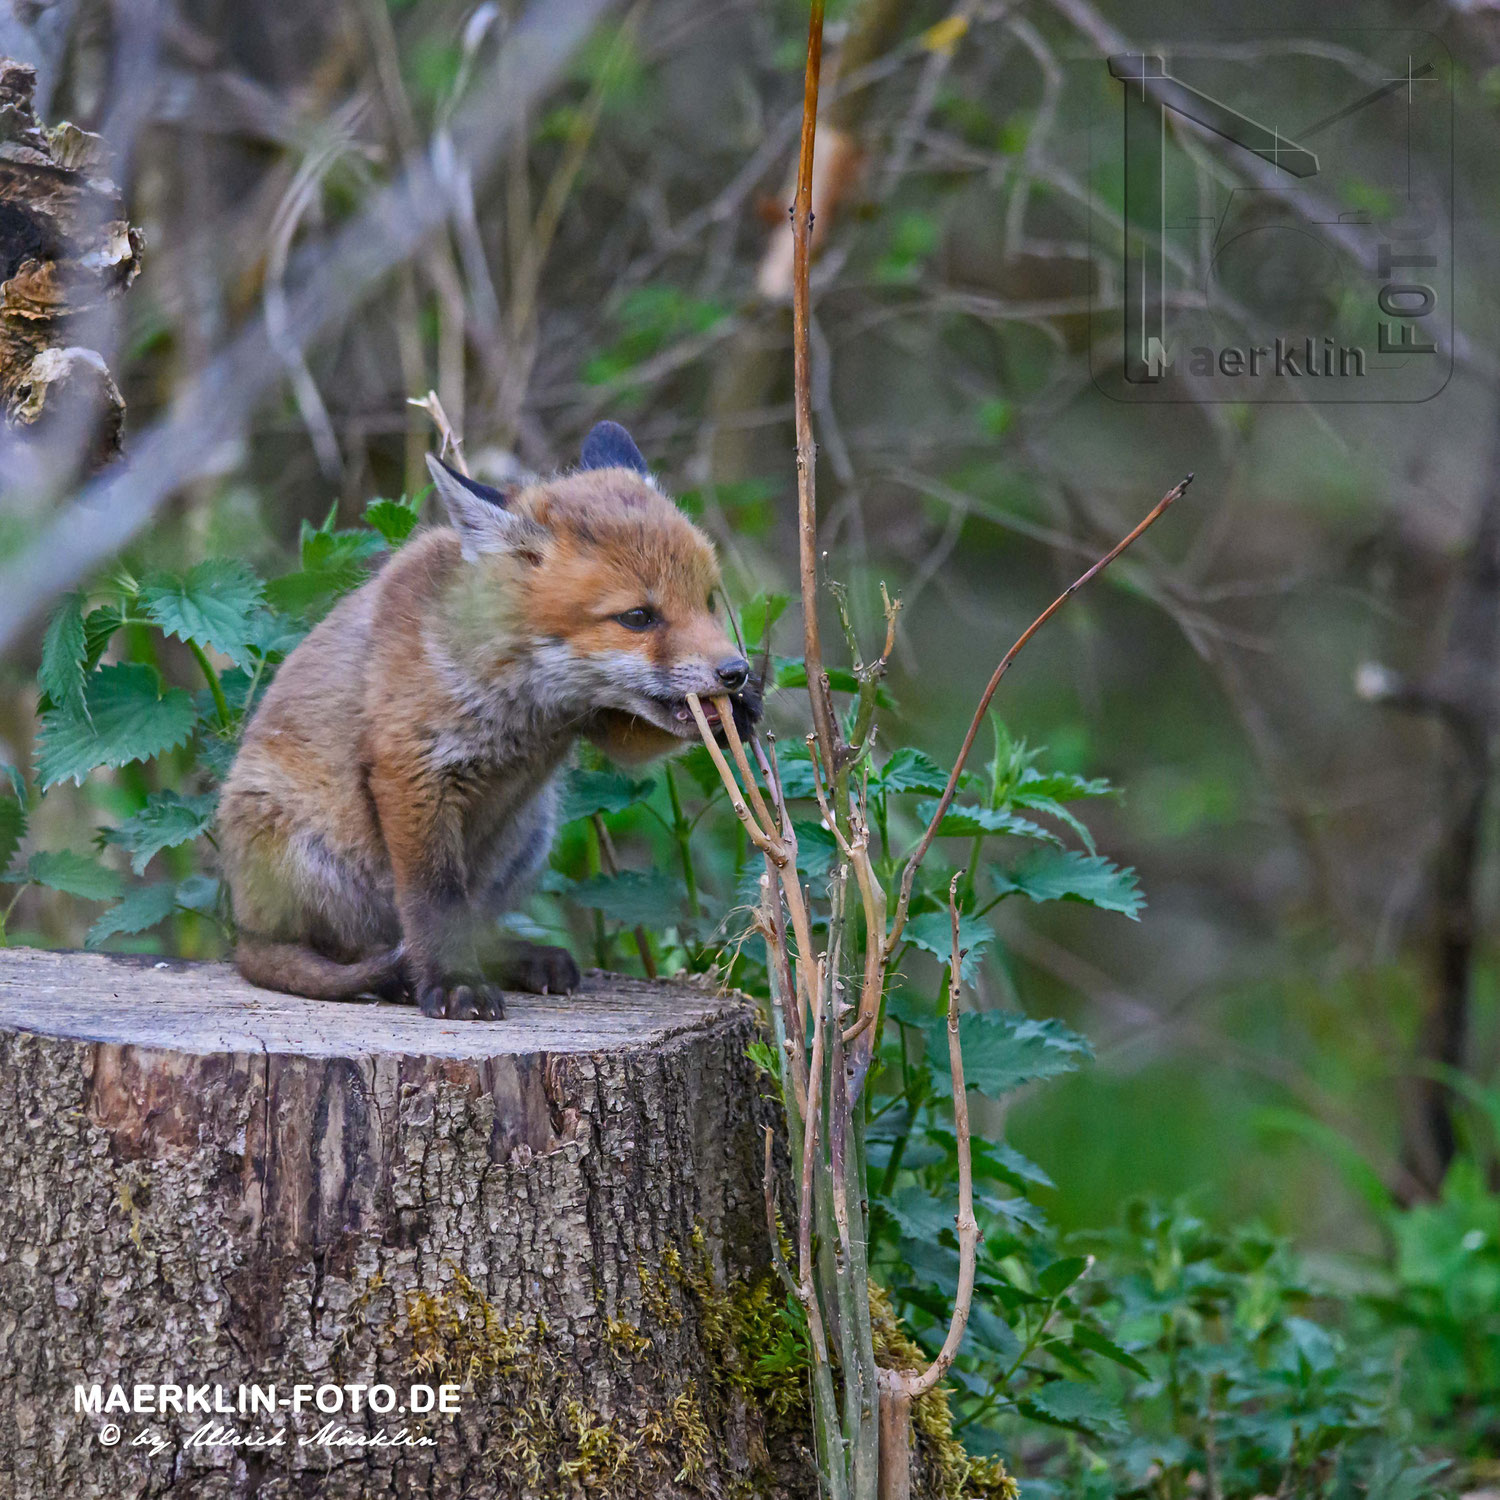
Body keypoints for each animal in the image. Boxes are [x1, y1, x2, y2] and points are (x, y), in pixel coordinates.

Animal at [219, 429, 762, 1026]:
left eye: (707, 601)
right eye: (638, 618)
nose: (735, 672)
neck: (529, 706)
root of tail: (243, 930)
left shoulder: (598, 721)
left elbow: (634, 744)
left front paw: (738, 711)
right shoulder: (410, 768)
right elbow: (435, 901)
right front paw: (453, 982)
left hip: (530, 832)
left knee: (471, 928)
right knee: (355, 948)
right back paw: (401, 977)